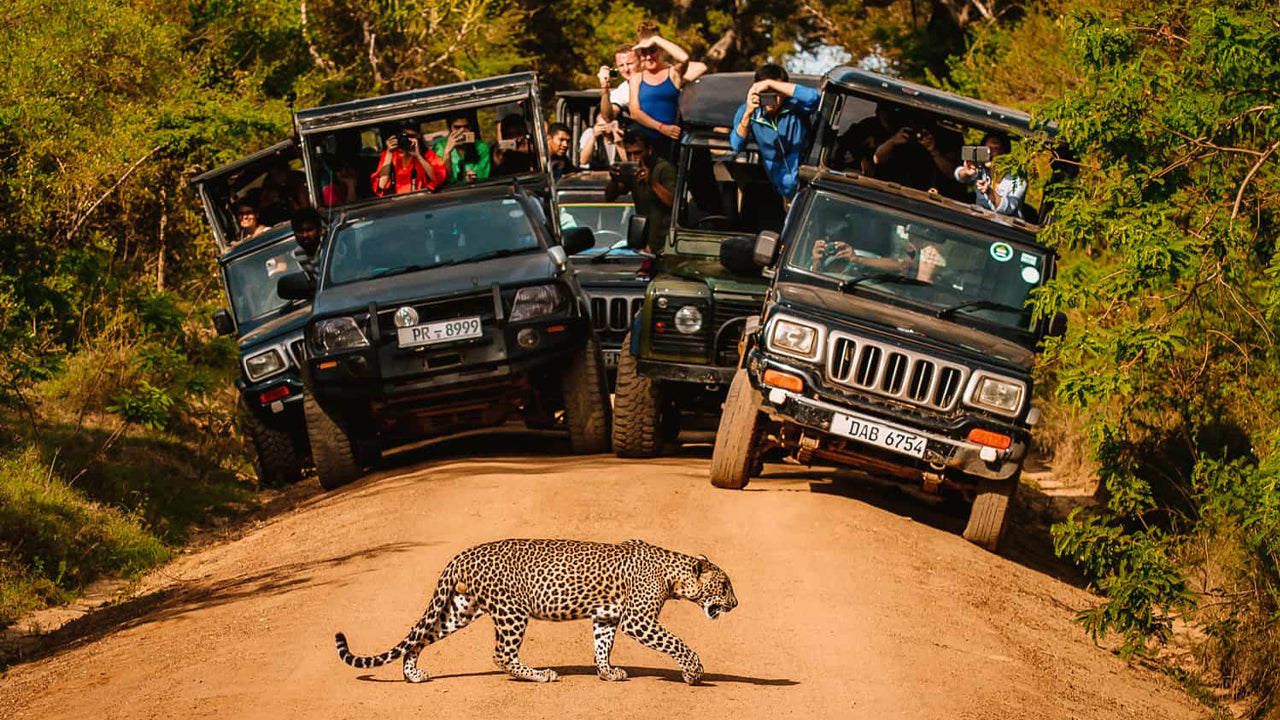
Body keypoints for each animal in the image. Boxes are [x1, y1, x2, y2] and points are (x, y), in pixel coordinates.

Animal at [335, 538, 742, 681]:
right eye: (725, 586)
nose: (736, 604)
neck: (675, 576)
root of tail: (464, 553)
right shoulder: (637, 620)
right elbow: (677, 643)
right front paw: (694, 672)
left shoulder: (606, 617)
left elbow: (601, 647)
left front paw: (607, 673)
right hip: (512, 612)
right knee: (501, 654)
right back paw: (539, 675)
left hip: (461, 609)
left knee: (420, 637)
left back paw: (413, 674)